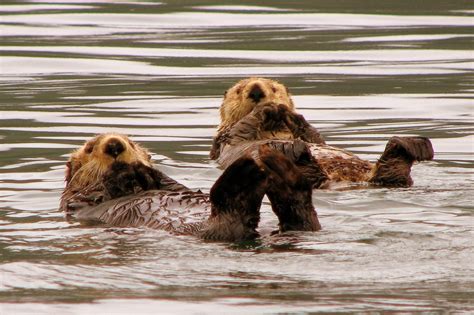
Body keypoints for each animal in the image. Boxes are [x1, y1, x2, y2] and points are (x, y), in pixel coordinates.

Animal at [61, 133, 322, 242]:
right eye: (89, 148)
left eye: (131, 143)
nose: (115, 145)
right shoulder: (77, 200)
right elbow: (94, 192)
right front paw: (122, 173)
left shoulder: (170, 184)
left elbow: (170, 183)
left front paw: (140, 169)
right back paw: (245, 174)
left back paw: (281, 164)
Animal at [211, 78, 434, 189]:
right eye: (239, 90)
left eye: (273, 88)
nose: (256, 91)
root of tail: (343, 181)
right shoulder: (225, 139)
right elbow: (240, 129)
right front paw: (265, 109)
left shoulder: (313, 137)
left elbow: (315, 136)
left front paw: (292, 116)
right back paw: (293, 150)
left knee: (393, 174)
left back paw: (414, 145)